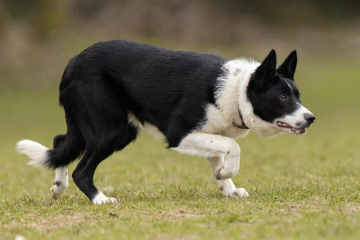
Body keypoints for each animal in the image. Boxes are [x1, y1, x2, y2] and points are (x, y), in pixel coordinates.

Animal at [16, 40, 316, 204]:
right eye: (282, 97)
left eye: (298, 95)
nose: (311, 118)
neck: (238, 90)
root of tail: (71, 64)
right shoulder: (179, 134)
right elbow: (232, 146)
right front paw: (226, 175)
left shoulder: (209, 132)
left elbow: (219, 154)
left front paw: (227, 187)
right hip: (112, 130)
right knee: (81, 169)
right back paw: (100, 200)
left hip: (109, 128)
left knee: (59, 142)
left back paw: (59, 188)